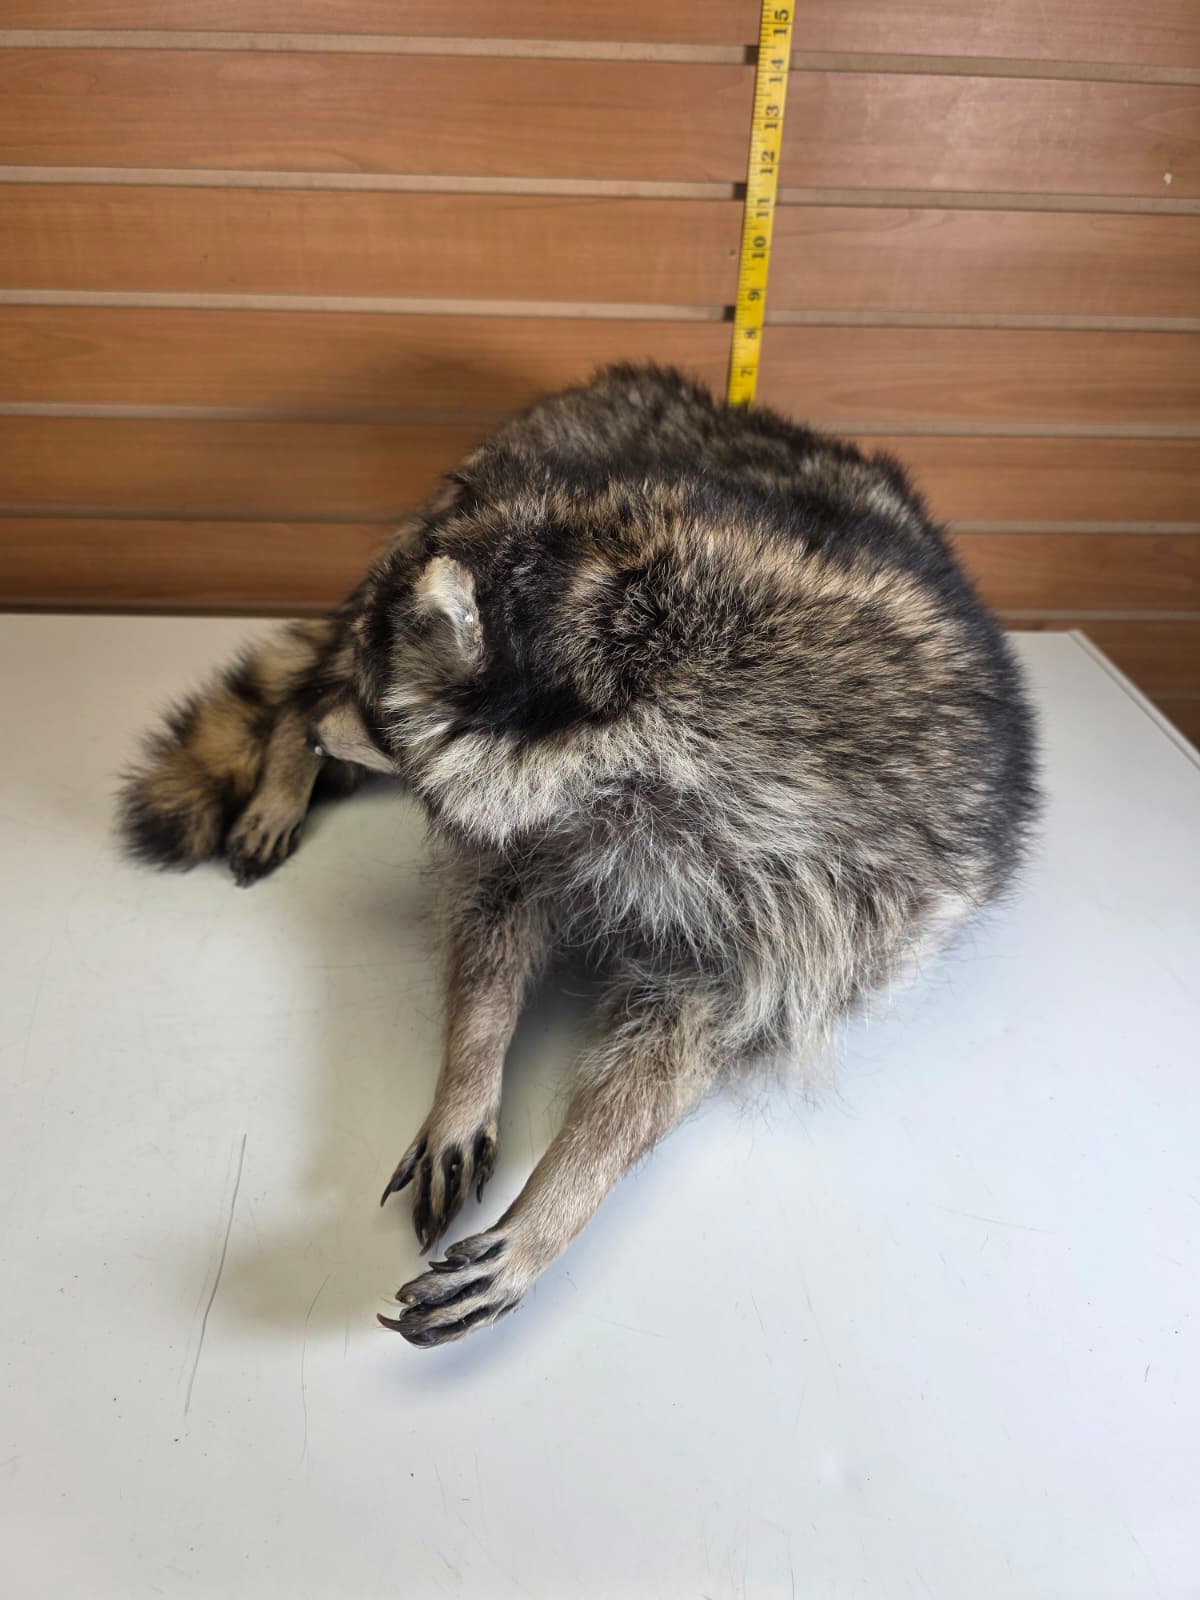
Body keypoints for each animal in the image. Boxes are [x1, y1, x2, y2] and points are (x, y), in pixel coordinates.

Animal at [119, 365, 1038, 1347]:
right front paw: (471, 1064)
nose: (328, 725)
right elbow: (490, 920)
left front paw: (566, 1186)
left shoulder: (821, 893)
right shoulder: (543, 826)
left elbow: (679, 1040)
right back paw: (286, 754)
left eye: (371, 704)